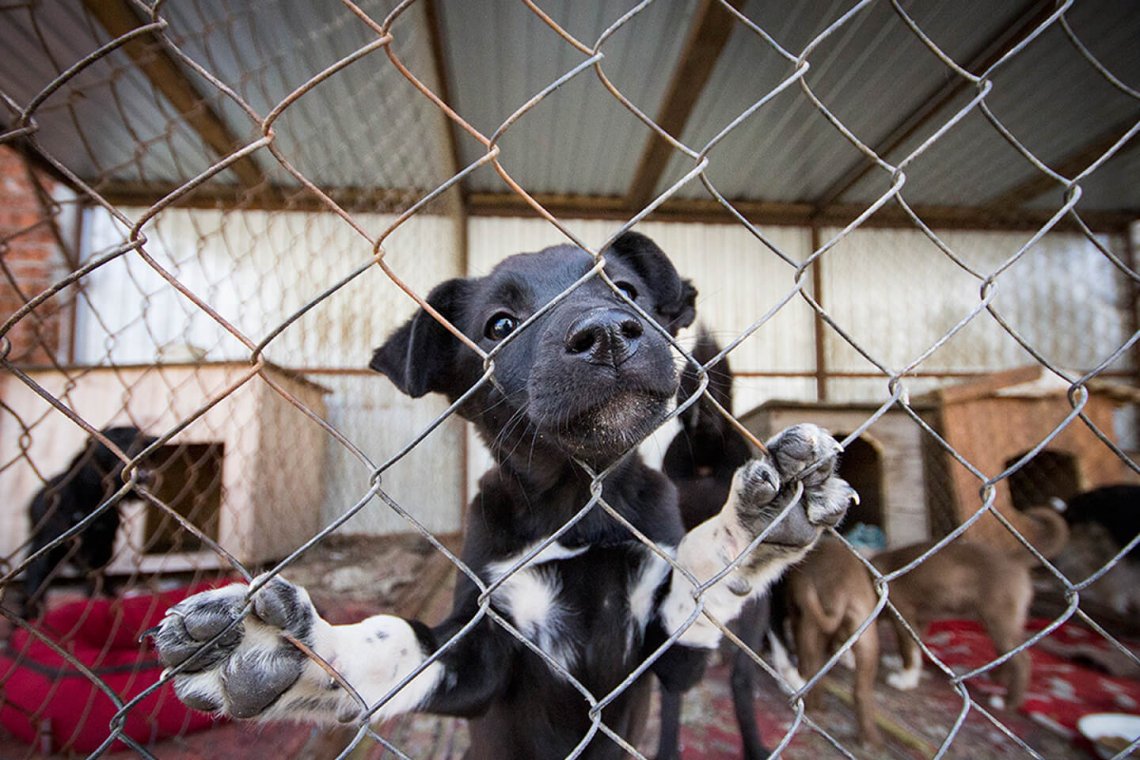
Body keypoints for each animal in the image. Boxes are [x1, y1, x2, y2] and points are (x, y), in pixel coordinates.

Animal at [21, 426, 157, 619]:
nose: (154, 439)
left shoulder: (103, 548)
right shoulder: (44, 548)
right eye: (119, 437)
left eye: (140, 433)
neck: (92, 499)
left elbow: (96, 582)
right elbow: (35, 584)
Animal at [147, 233, 852, 760]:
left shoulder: (670, 656)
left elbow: (700, 579)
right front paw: (289, 653)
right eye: (500, 325)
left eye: (626, 291)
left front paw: (757, 521)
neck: (578, 503)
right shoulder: (481, 657)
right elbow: (394, 642)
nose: (607, 332)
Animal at [784, 537, 880, 747]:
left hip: (810, 627)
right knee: (861, 691)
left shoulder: (796, 615)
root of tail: (841, 591)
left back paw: (815, 706)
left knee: (813, 668)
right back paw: (870, 739)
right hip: (867, 640)